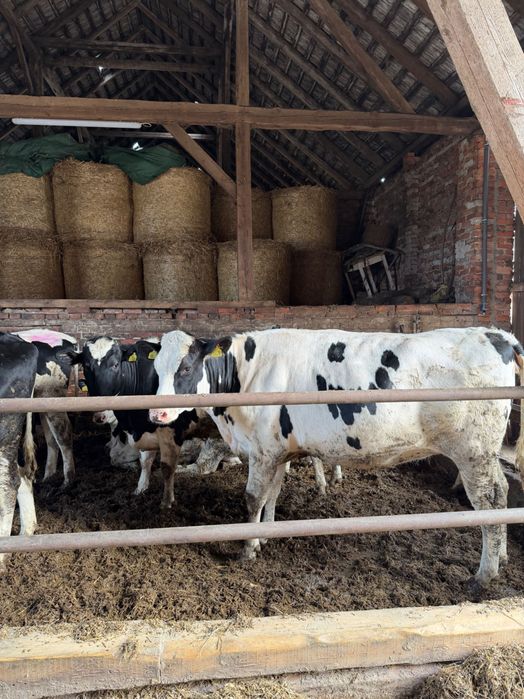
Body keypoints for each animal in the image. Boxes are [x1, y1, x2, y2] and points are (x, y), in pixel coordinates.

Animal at [14, 329, 77, 486]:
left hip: (52, 393)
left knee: (63, 434)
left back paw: (67, 481)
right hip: (43, 399)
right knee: (51, 438)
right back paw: (48, 477)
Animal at [149, 326, 524, 588]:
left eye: (186, 367)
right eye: (156, 370)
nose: (158, 413)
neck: (246, 374)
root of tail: (496, 334)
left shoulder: (262, 450)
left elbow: (253, 498)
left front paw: (247, 548)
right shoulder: (277, 449)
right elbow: (273, 493)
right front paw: (265, 535)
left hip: (473, 452)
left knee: (489, 500)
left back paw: (484, 573)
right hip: (485, 454)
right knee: (504, 492)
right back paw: (503, 556)